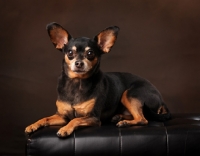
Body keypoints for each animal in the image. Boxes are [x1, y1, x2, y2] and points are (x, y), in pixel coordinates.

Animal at [25, 22, 171, 137]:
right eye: (70, 53)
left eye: (90, 53)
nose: (79, 63)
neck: (77, 83)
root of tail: (161, 99)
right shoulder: (62, 116)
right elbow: (45, 118)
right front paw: (33, 125)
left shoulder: (93, 118)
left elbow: (75, 120)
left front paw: (65, 129)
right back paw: (118, 117)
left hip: (129, 94)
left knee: (143, 119)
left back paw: (124, 122)